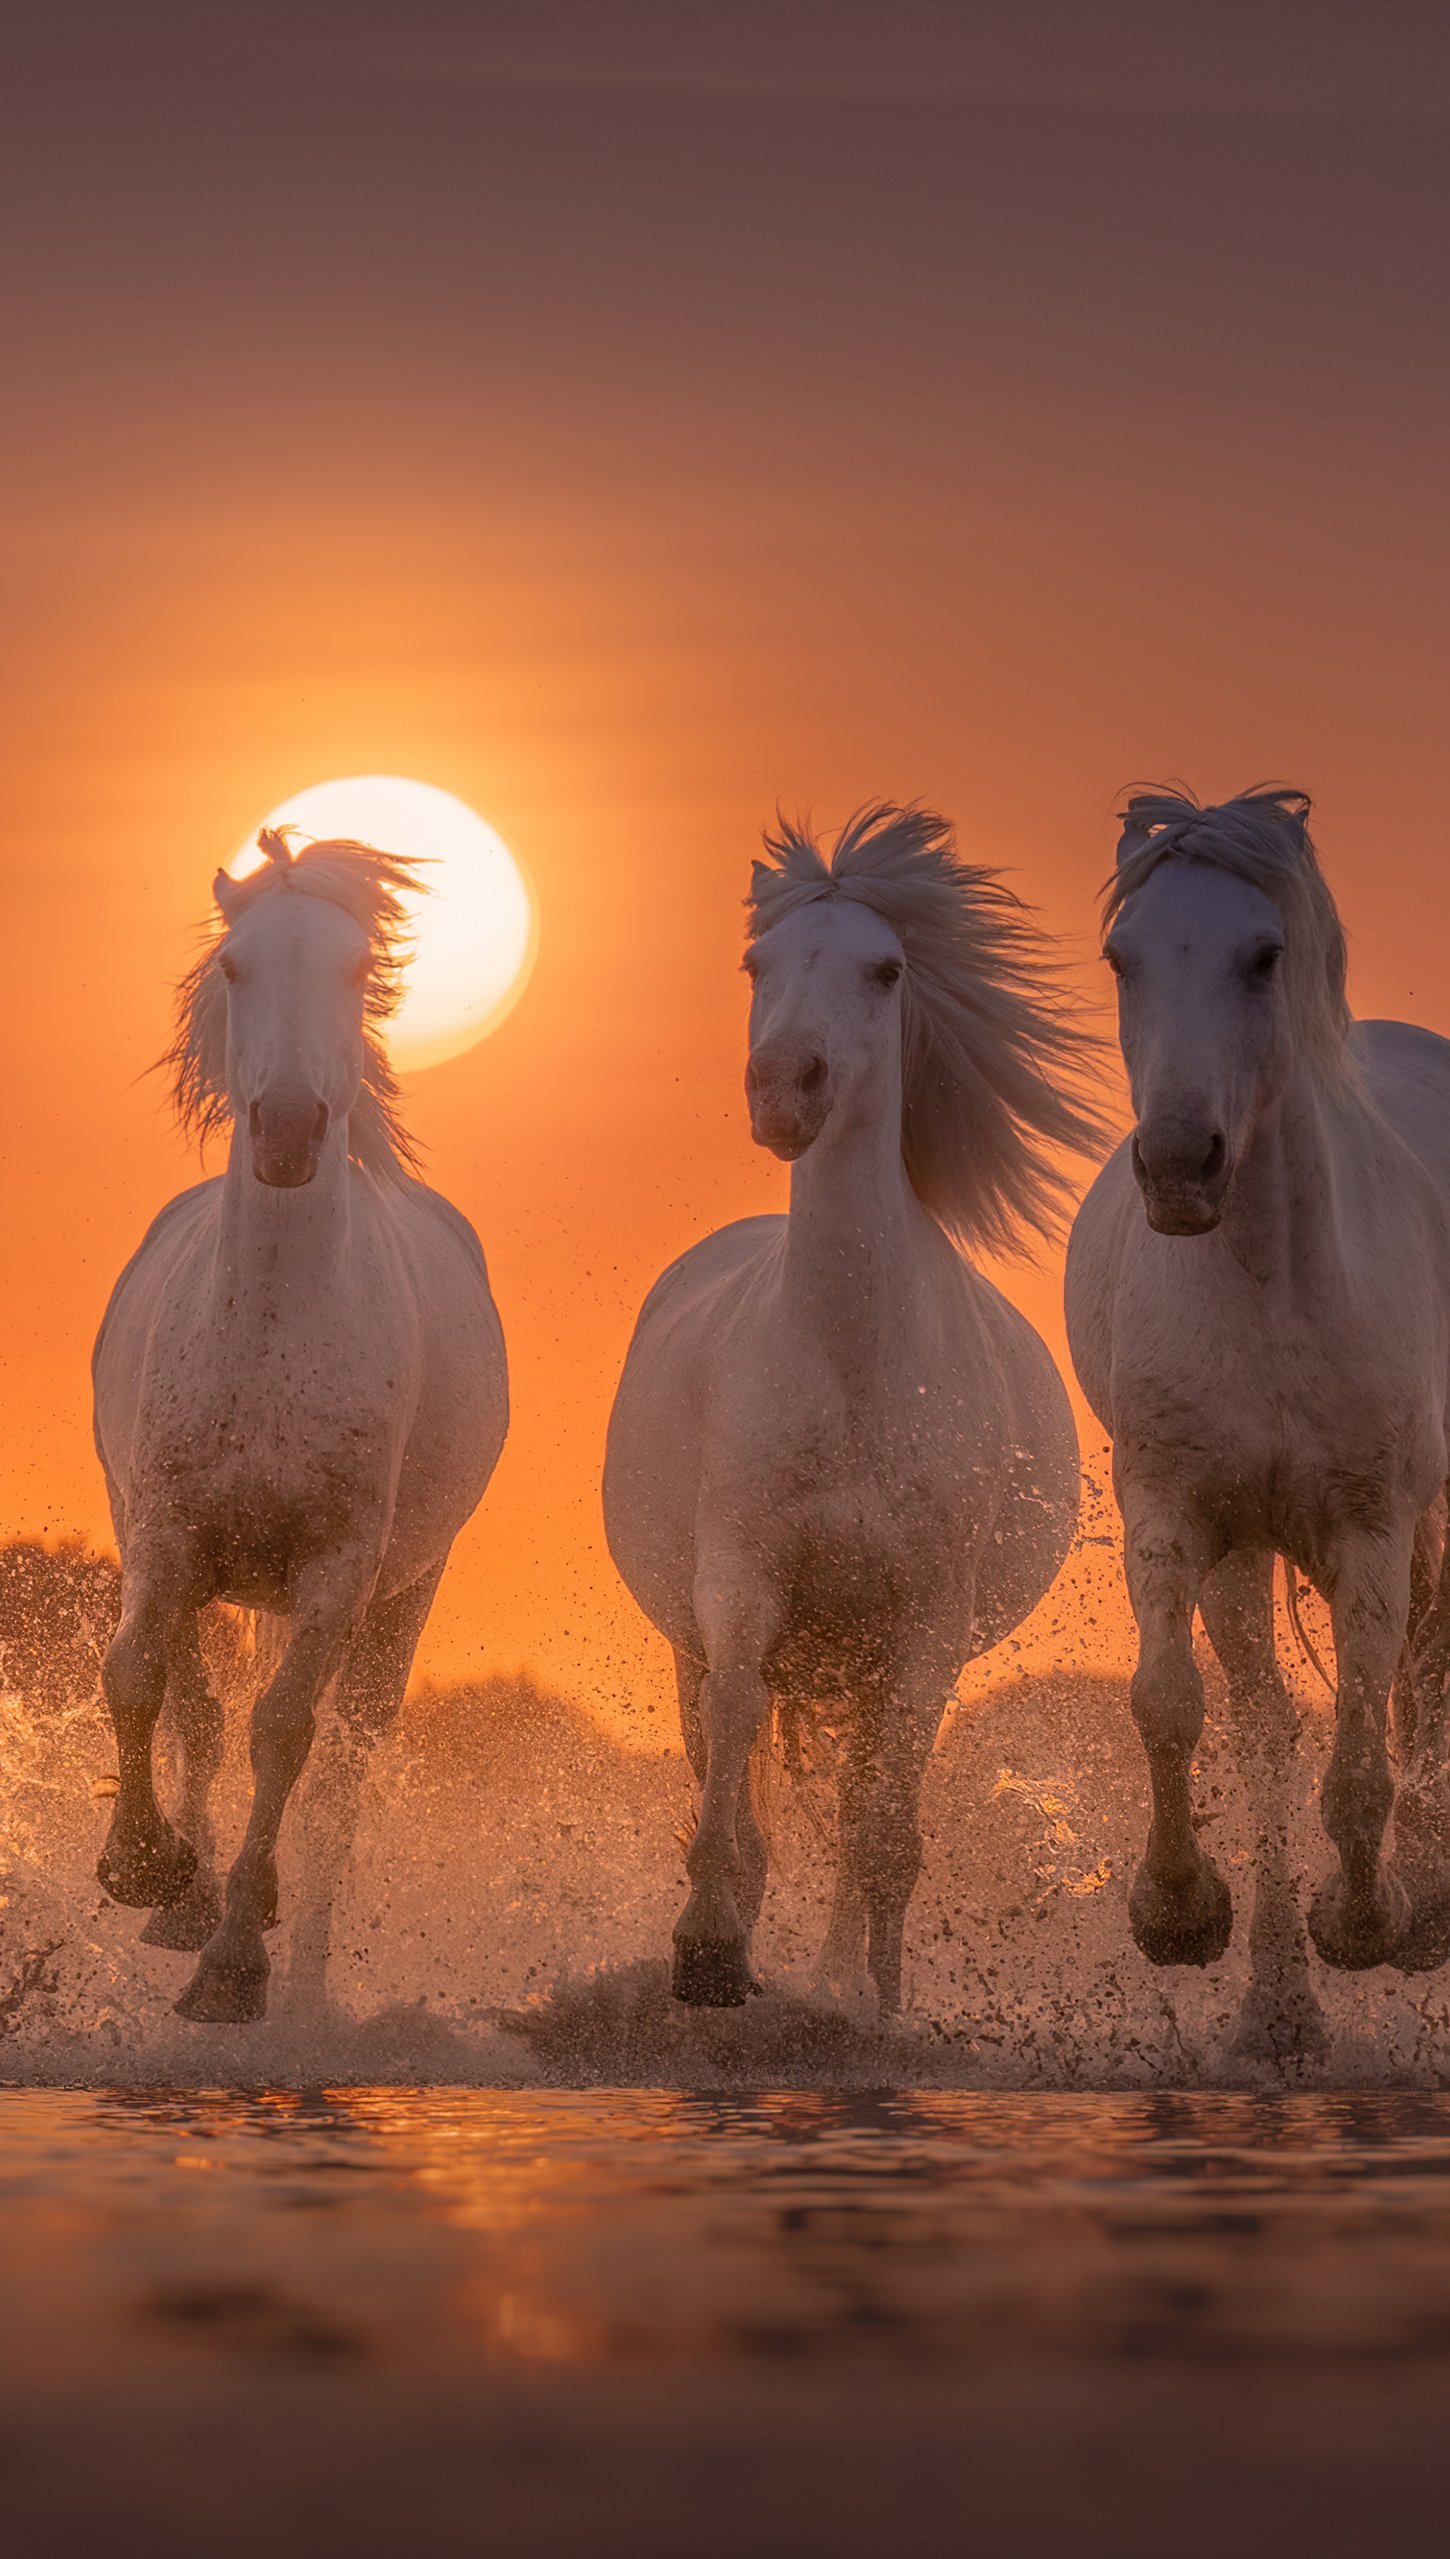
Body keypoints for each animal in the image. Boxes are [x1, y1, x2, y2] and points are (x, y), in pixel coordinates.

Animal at [93, 834, 508, 2016]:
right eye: (236, 966)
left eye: (357, 969)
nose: (285, 1129)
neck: (276, 1322)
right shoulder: (167, 1534)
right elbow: (143, 1683)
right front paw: (146, 1872)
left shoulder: (337, 1566)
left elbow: (282, 1734)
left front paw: (236, 1967)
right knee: (194, 1709)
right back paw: (188, 1894)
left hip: (400, 1597)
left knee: (337, 1782)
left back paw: (303, 1973)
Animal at [606, 808, 1104, 2006]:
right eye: (757, 963)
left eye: (885, 969)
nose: (785, 1087)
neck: (852, 1372)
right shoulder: (740, 1578)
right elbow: (736, 1746)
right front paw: (707, 1946)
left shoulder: (921, 1631)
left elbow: (880, 1827)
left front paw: (872, 2005)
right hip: (709, 1643)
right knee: (732, 1748)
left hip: (867, 1666)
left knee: (857, 1799)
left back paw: (842, 1978)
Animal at [1068, 783, 1450, 2057]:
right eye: (1122, 957)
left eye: (1262, 954)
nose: (1180, 1166)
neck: (1268, 1286)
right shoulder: (1174, 1515)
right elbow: (1170, 1708)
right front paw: (1178, 1914)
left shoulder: (1372, 1529)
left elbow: (1364, 1756)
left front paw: (1367, 1921)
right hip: (1244, 1552)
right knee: (1266, 1729)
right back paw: (1276, 2013)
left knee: (1410, 1690)